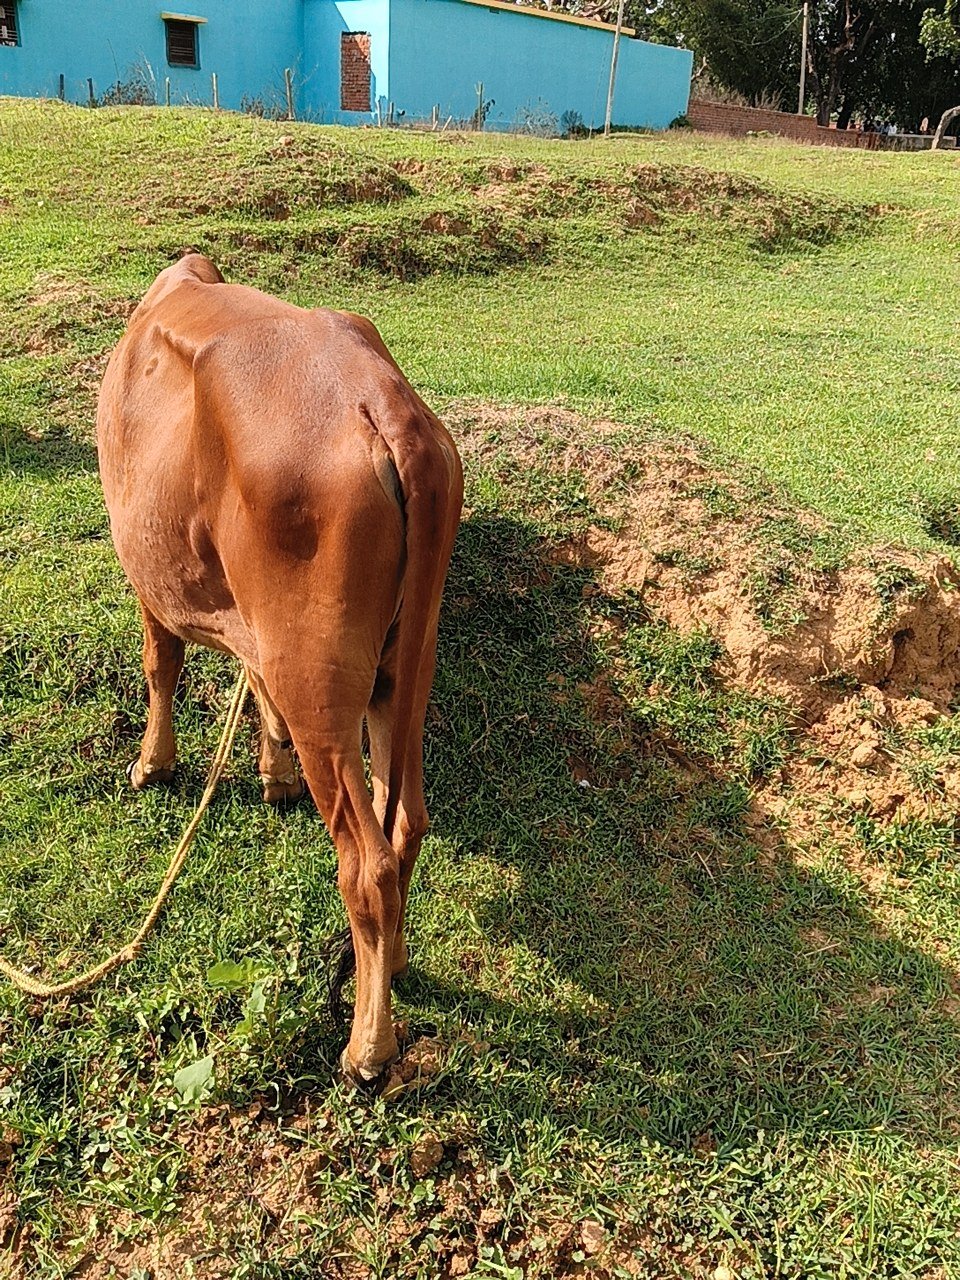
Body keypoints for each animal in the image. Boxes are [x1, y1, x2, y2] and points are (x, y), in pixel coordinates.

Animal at [97, 254, 463, 1084]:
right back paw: (393, 966)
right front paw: (273, 772)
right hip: (404, 664)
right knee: (406, 823)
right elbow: (252, 684)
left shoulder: (148, 575)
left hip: (317, 676)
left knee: (366, 865)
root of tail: (386, 408)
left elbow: (160, 664)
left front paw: (153, 764)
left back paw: (367, 1046)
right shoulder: (250, 620)